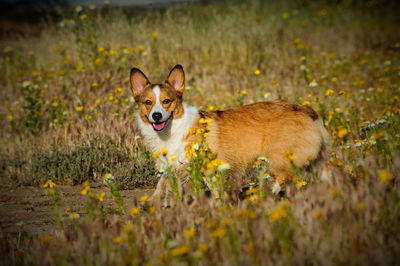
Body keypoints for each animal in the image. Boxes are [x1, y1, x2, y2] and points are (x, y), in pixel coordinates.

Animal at [130, 65, 330, 206]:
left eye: (166, 101)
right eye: (148, 102)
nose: (157, 116)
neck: (171, 129)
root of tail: (305, 109)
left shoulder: (207, 169)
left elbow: (215, 191)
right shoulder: (173, 167)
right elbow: (161, 186)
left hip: (279, 159)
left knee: (281, 179)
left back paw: (261, 198)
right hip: (315, 161)